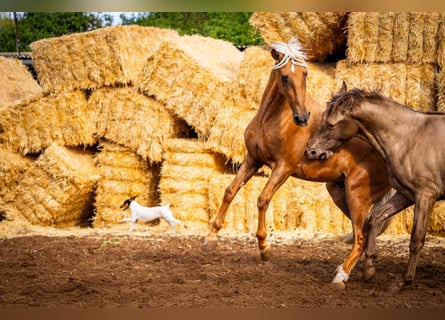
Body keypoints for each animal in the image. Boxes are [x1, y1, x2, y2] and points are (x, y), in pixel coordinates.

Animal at [203, 38, 390, 288]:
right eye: (284, 77)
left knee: (361, 236)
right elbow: (230, 191)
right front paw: (210, 238)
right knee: (368, 229)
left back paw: (341, 276)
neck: (271, 120)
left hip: (356, 197)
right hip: (341, 194)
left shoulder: (283, 168)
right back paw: (363, 269)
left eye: (305, 74)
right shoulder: (253, 160)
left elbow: (262, 199)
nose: (302, 117)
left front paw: (264, 248)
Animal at [306, 84, 444, 292]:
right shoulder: (406, 195)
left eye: (330, 124)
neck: (408, 138)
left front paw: (403, 281)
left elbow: (416, 240)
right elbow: (374, 219)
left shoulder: (425, 196)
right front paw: (370, 267)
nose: (311, 151)